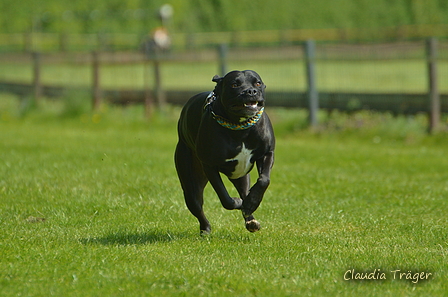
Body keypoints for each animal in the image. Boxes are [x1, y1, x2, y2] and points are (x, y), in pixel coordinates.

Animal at [174, 70, 272, 234]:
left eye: (258, 83)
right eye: (234, 84)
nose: (251, 91)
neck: (240, 127)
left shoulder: (267, 153)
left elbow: (264, 180)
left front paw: (252, 202)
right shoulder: (210, 166)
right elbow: (225, 198)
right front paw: (238, 203)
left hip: (241, 176)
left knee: (245, 191)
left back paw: (250, 217)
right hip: (190, 181)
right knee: (196, 205)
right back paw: (206, 228)